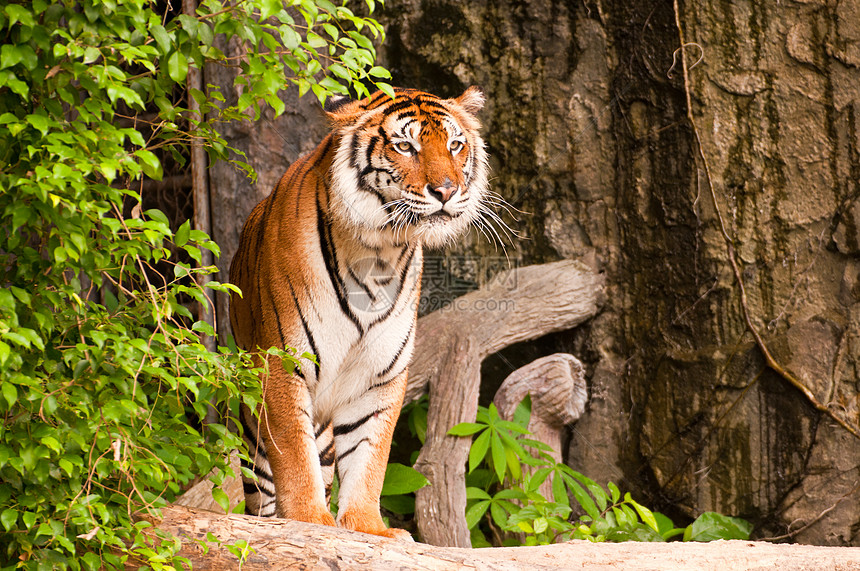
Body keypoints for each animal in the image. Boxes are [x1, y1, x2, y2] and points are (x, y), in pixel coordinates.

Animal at [228, 86, 490, 540]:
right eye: (405, 146)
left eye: (455, 146)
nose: (446, 190)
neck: (378, 254)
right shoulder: (282, 365)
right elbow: (294, 454)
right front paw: (308, 520)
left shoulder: (379, 374)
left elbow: (370, 454)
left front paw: (368, 527)